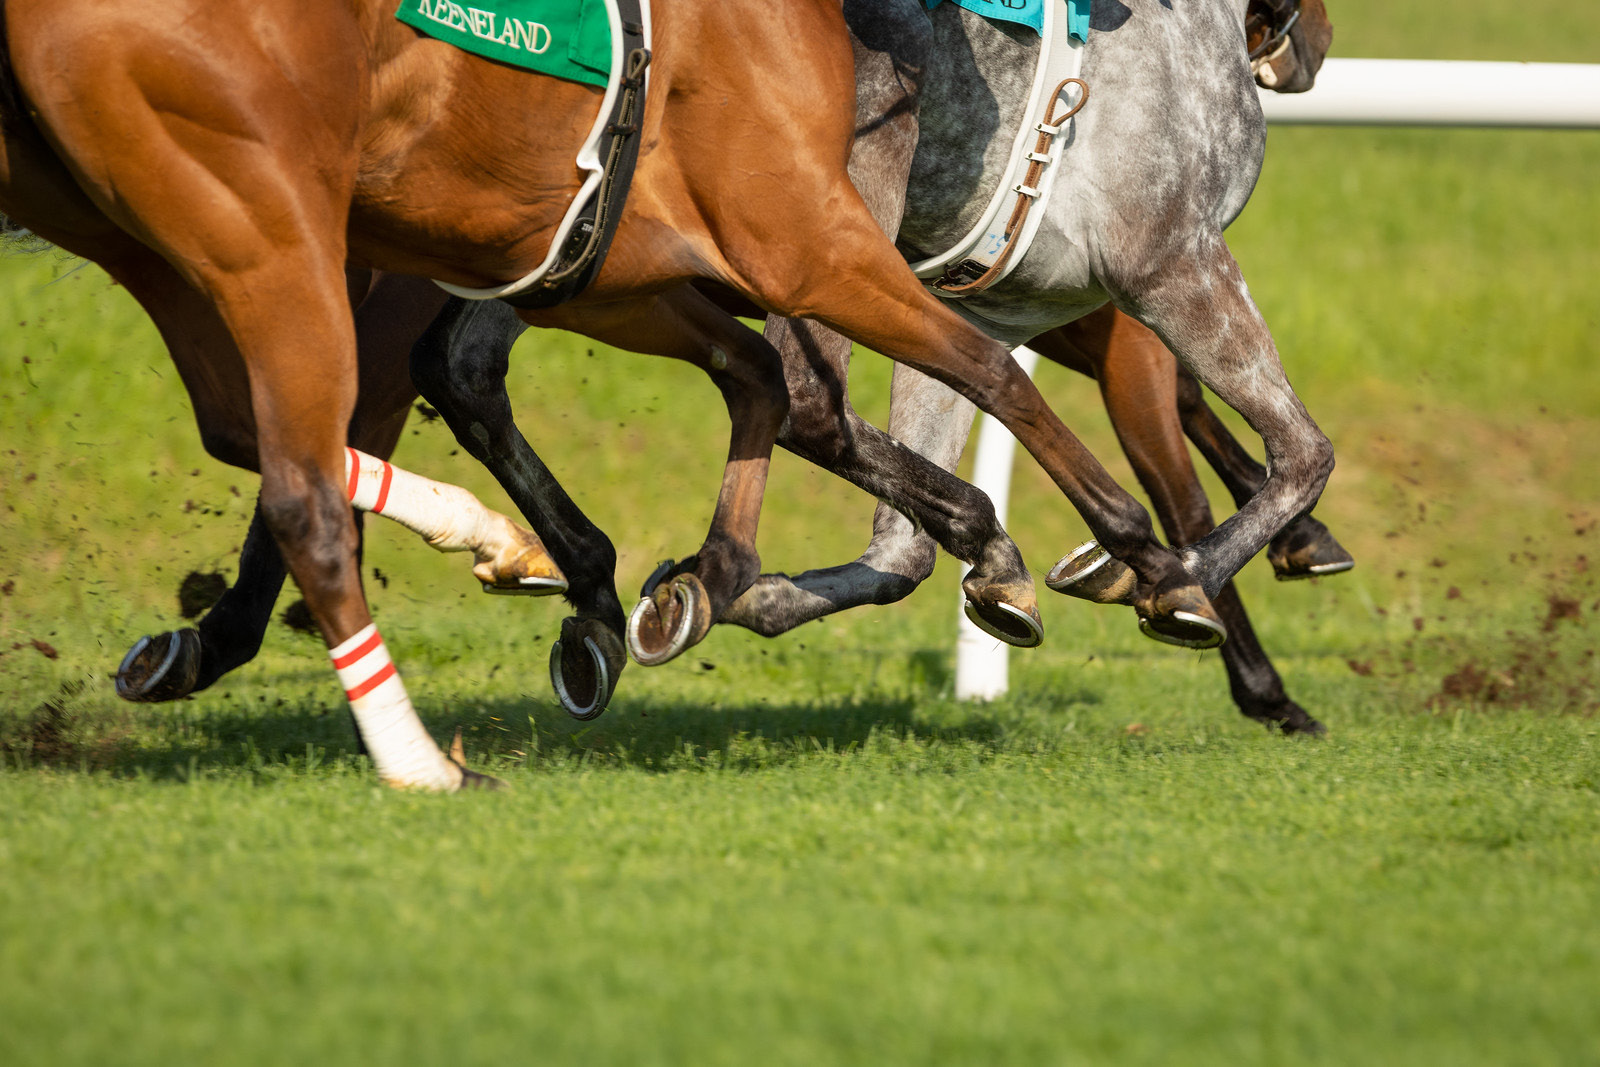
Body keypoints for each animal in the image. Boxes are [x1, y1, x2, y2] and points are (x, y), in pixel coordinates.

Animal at [5, 0, 1308, 788]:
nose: (1303, 43)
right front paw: (1178, 594)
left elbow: (832, 441)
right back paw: (429, 725)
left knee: (304, 425)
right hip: (292, 229)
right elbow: (1212, 456)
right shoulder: (1117, 273)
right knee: (332, 445)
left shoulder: (628, 252)